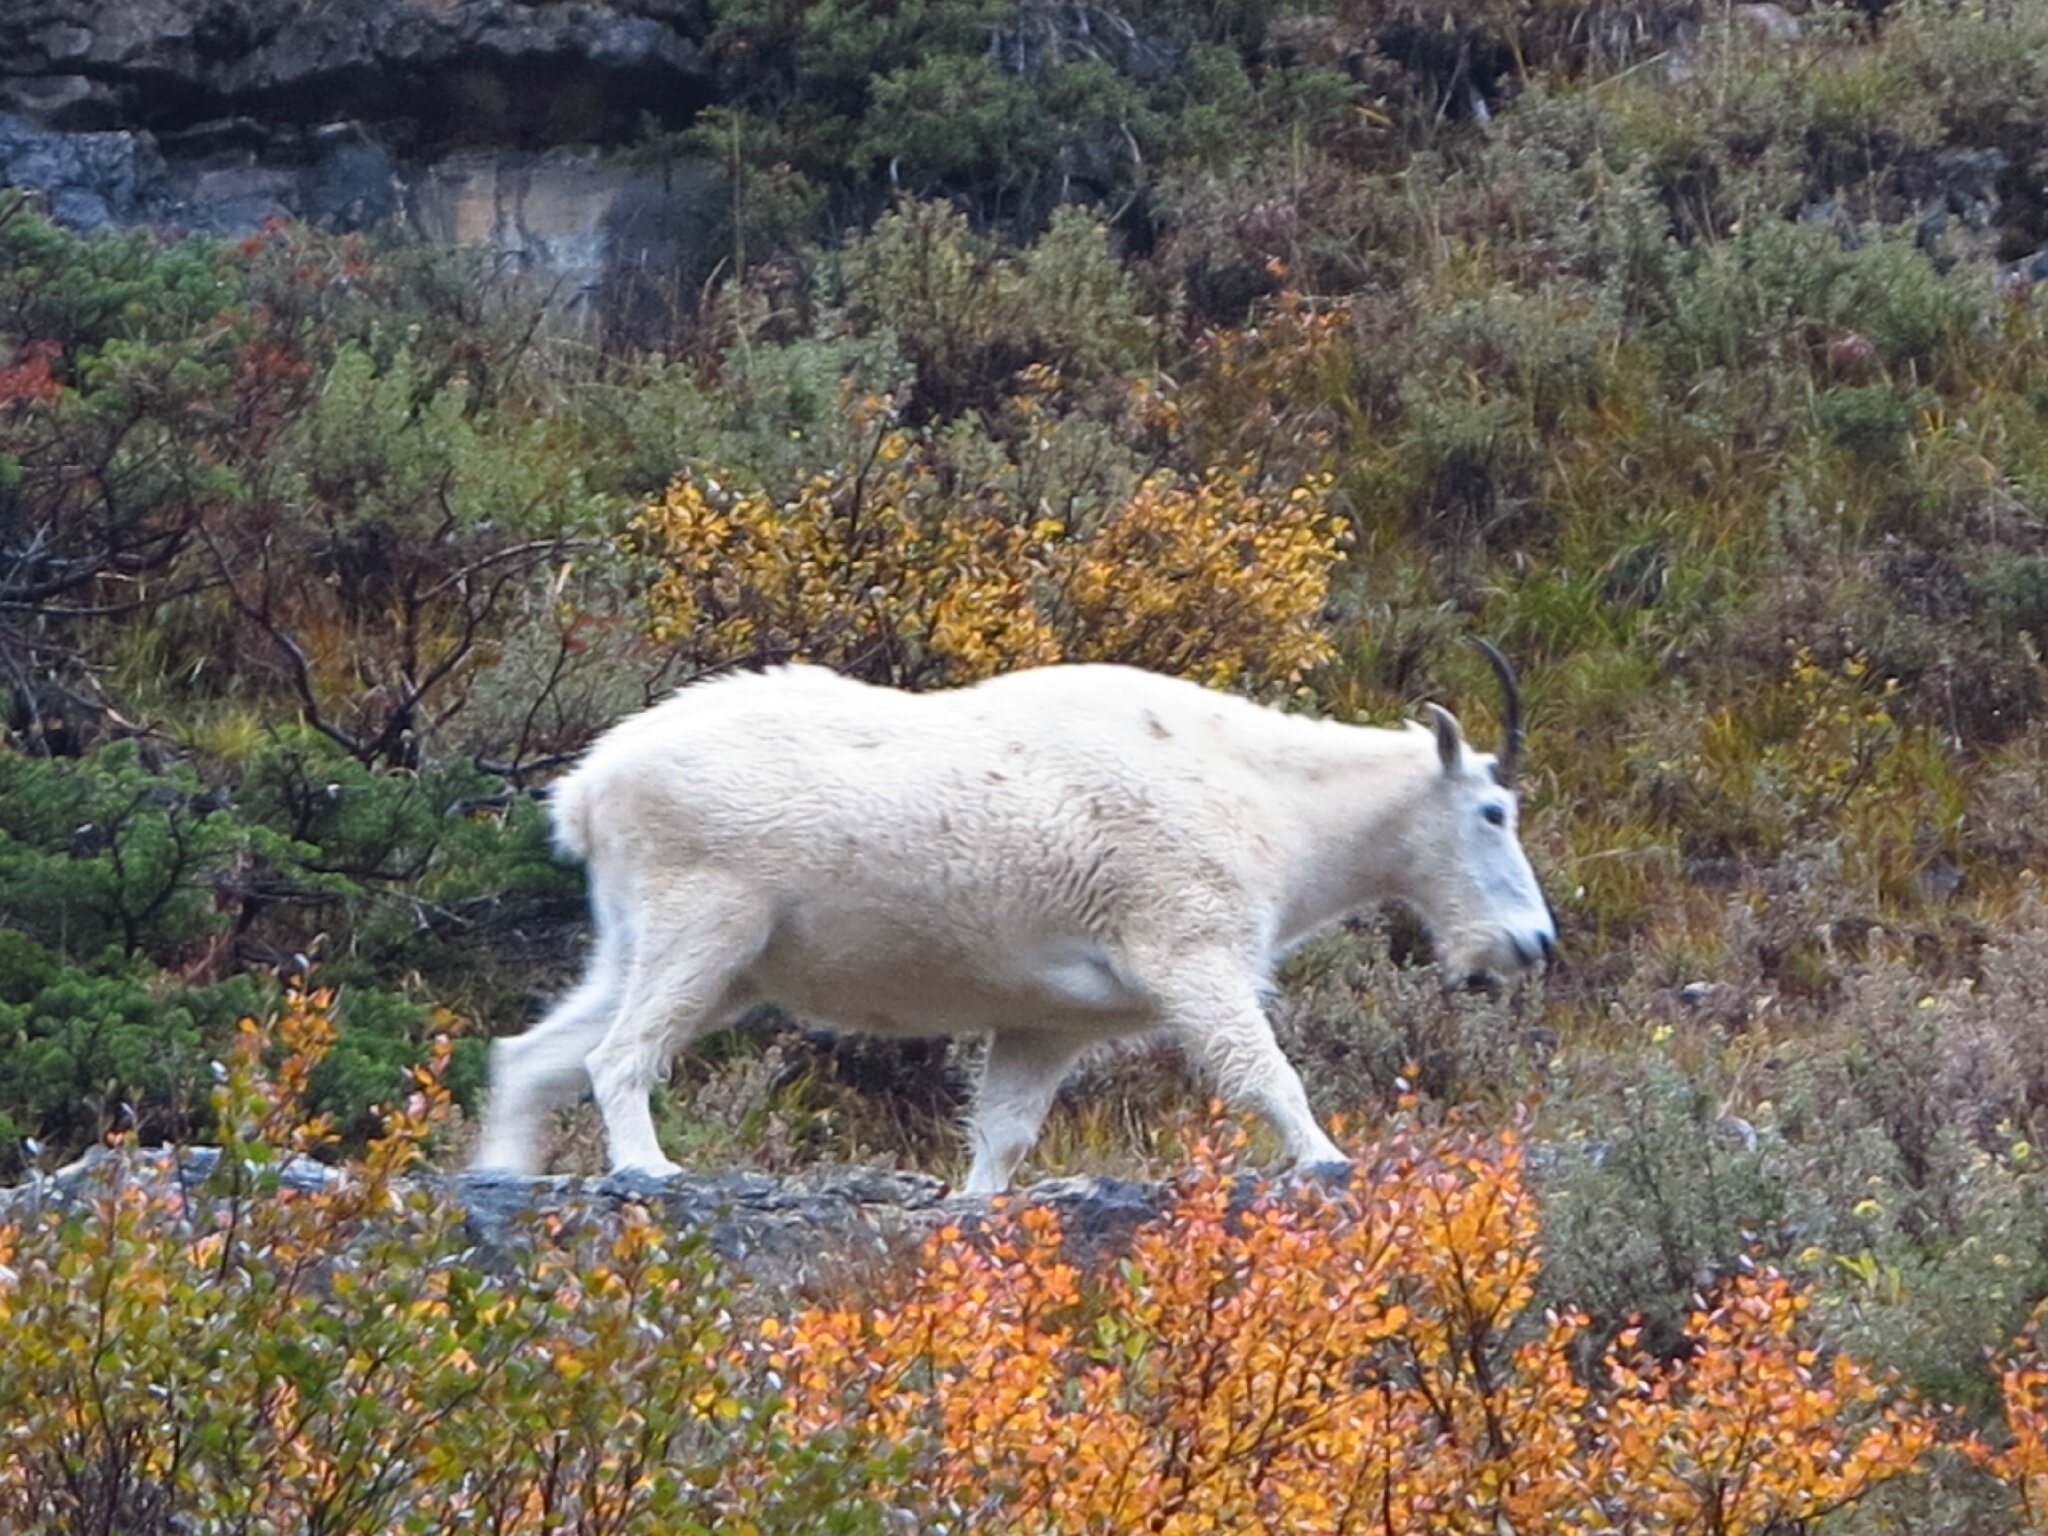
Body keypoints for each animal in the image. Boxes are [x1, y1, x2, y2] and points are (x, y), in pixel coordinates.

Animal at [471, 651, 1548, 1187]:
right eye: (1493, 812)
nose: (1531, 944)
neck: (1276, 804)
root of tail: (587, 788)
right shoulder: (1188, 946)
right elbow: (1262, 1071)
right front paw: (1325, 1158)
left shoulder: (1046, 1020)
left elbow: (1003, 1135)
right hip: (704, 916)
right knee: (618, 1055)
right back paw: (647, 1166)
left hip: (663, 944)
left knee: (533, 1055)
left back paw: (502, 1176)